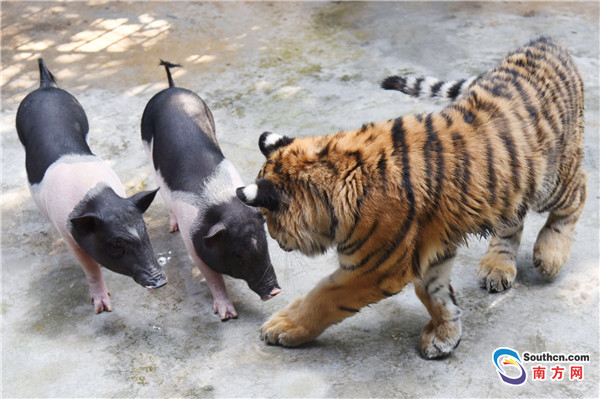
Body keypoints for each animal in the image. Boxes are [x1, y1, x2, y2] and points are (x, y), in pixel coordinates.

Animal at [16, 60, 166, 316]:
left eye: (144, 229)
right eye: (116, 243)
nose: (160, 281)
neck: (94, 197)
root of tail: (45, 88)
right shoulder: (68, 233)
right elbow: (91, 268)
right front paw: (103, 309)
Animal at [141, 60, 282, 322]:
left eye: (264, 244)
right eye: (238, 256)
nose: (275, 291)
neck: (220, 201)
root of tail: (171, 89)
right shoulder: (192, 240)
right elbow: (213, 278)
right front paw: (227, 316)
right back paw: (172, 227)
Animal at [234, 38, 584, 360]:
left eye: (269, 220)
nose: (278, 241)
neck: (337, 173)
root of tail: (546, 41)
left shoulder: (375, 268)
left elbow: (324, 297)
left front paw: (282, 327)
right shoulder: (427, 250)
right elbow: (431, 292)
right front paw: (446, 333)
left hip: (552, 180)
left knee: (577, 194)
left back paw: (550, 254)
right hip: (510, 187)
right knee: (513, 223)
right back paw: (497, 267)